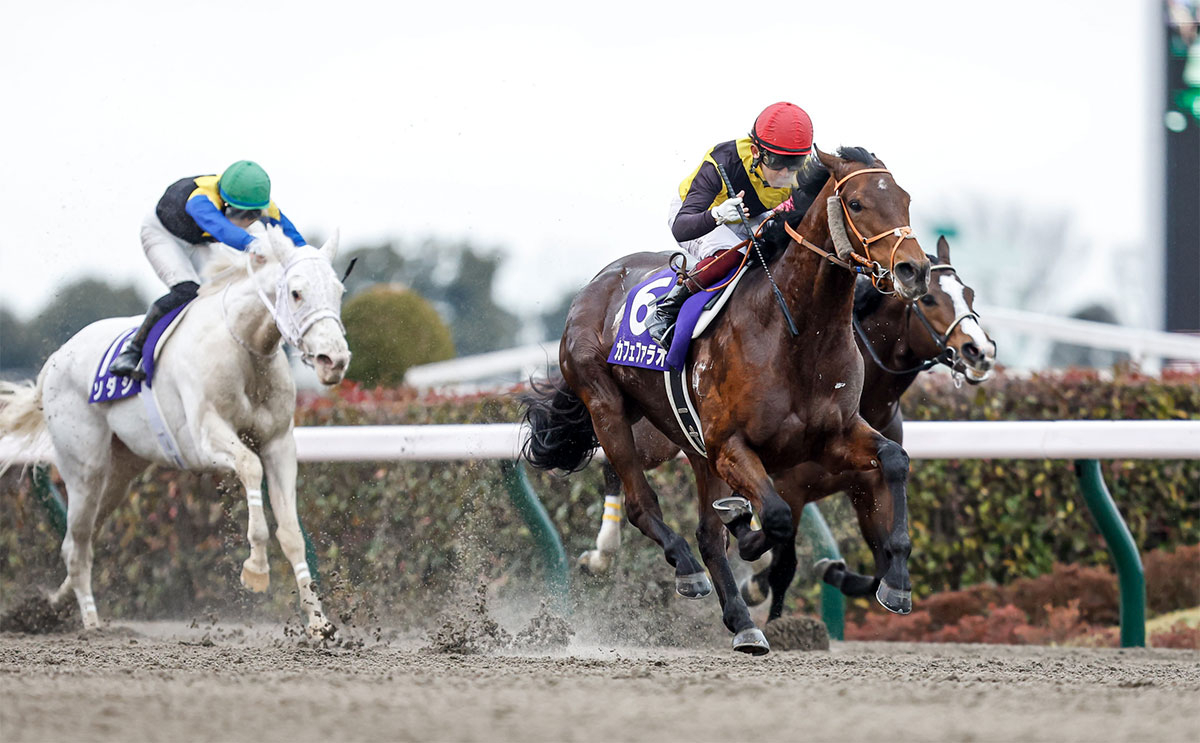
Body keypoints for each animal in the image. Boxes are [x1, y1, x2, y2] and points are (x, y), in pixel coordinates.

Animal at [0, 222, 352, 638]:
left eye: (338, 291)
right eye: (297, 293)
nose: (334, 360)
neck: (243, 348)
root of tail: (54, 360)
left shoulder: (279, 444)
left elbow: (292, 533)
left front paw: (318, 624)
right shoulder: (202, 440)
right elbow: (250, 468)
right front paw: (256, 569)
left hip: (121, 472)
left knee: (79, 540)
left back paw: (52, 607)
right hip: (84, 467)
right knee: (77, 543)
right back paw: (92, 624)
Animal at [576, 236, 998, 624]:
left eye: (970, 294)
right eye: (929, 301)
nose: (981, 351)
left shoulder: (867, 485)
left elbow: (881, 561)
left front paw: (839, 574)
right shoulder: (791, 488)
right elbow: (783, 564)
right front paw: (762, 593)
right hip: (654, 435)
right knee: (614, 467)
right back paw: (602, 553)